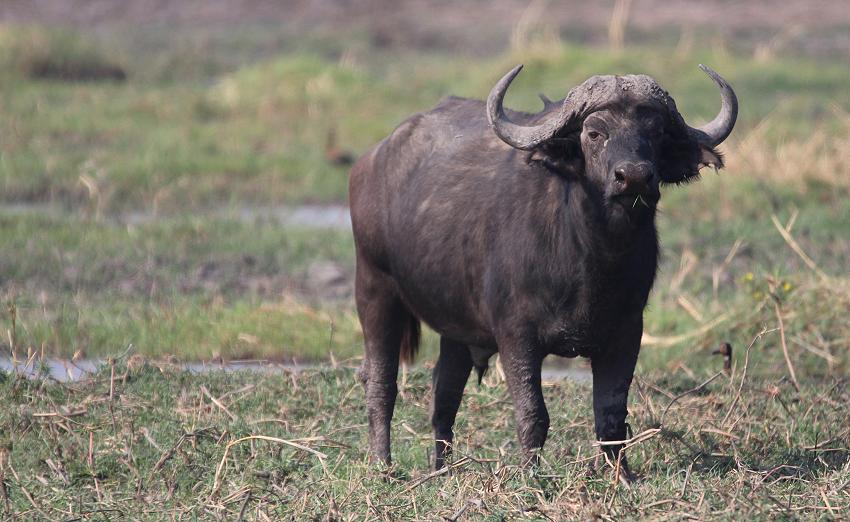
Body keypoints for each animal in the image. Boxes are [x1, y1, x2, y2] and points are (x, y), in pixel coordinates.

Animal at [348, 64, 732, 476]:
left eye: (657, 132)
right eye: (594, 133)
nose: (633, 177)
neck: (593, 258)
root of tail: (372, 159)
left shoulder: (627, 331)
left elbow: (612, 415)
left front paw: (622, 477)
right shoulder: (517, 336)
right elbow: (534, 415)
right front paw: (531, 475)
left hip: (457, 328)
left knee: (444, 395)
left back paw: (442, 469)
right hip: (374, 288)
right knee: (381, 383)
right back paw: (383, 465)